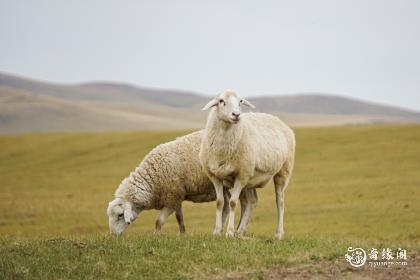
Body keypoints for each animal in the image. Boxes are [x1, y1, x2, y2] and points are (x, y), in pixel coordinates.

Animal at [106, 130, 256, 235]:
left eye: (120, 215)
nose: (113, 235)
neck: (152, 180)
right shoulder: (176, 196)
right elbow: (179, 218)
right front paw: (183, 233)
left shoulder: (172, 198)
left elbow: (158, 221)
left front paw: (155, 236)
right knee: (235, 204)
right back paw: (231, 230)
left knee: (248, 202)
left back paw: (238, 230)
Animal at [200, 90, 296, 238]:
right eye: (221, 101)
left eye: (240, 101)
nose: (236, 115)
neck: (222, 150)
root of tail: (278, 119)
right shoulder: (214, 176)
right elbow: (220, 202)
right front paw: (216, 231)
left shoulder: (241, 175)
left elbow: (233, 203)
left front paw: (229, 232)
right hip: (250, 177)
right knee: (252, 201)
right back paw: (240, 232)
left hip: (282, 171)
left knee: (280, 201)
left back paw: (278, 233)